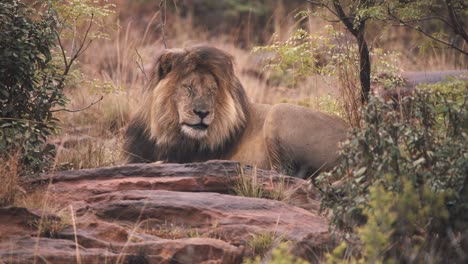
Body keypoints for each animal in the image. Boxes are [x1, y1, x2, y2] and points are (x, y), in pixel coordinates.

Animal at [124, 45, 348, 178]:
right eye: (188, 88)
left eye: (212, 91)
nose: (202, 113)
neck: (165, 132)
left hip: (279, 111)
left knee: (283, 174)